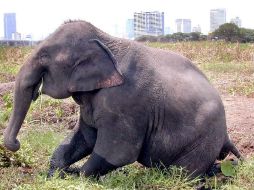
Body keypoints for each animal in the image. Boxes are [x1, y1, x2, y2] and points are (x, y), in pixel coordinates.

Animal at [2, 20, 242, 177]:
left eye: (44, 56)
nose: (16, 144)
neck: (105, 39)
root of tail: (226, 134)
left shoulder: (126, 103)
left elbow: (116, 152)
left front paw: (77, 175)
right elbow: (85, 137)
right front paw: (55, 174)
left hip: (204, 141)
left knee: (183, 174)